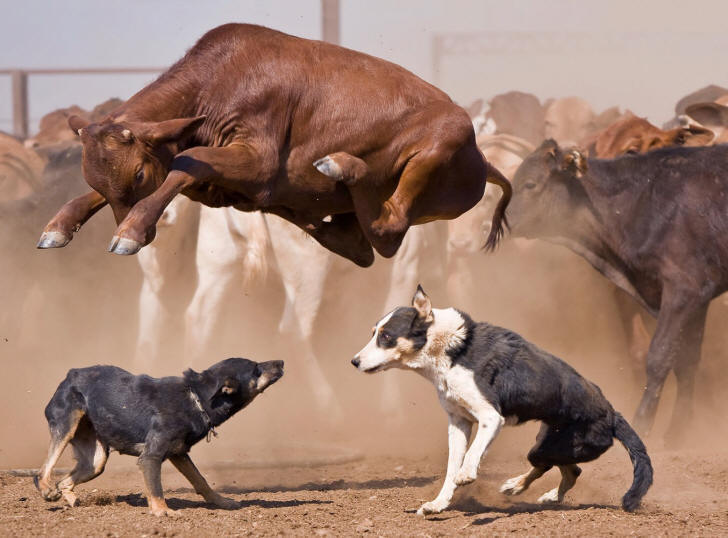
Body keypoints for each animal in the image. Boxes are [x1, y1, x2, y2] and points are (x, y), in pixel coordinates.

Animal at [35, 23, 512, 266]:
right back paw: (308, 210)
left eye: (137, 172)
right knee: (359, 246)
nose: (142, 233)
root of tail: (482, 159)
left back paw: (341, 167)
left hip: (439, 146)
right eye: (96, 178)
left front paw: (131, 230)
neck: (217, 83)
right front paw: (58, 225)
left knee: (389, 230)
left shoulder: (257, 158)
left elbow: (191, 159)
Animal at [35, 358, 282, 512]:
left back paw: (70, 500)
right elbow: (156, 487)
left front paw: (222, 502)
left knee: (64, 481)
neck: (196, 398)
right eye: (256, 369)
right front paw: (162, 512)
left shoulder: (178, 452)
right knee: (42, 472)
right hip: (66, 426)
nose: (281, 362)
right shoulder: (151, 456)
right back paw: (47, 490)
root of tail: (71, 374)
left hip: (95, 461)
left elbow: (201, 481)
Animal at [350, 286, 652, 512]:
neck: (454, 349)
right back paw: (538, 493)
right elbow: (451, 466)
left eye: (386, 336)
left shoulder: (490, 417)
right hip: (550, 441)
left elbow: (471, 455)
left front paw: (467, 475)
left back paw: (518, 486)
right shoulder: (458, 422)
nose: (354, 361)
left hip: (556, 446)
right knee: (571, 471)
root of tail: (612, 414)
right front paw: (438, 504)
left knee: (550, 466)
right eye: (374, 333)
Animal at [510, 139, 728, 440]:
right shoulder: (698, 299)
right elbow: (687, 362)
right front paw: (678, 430)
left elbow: (659, 356)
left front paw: (643, 424)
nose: (504, 220)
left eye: (530, 184)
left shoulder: (684, 290)